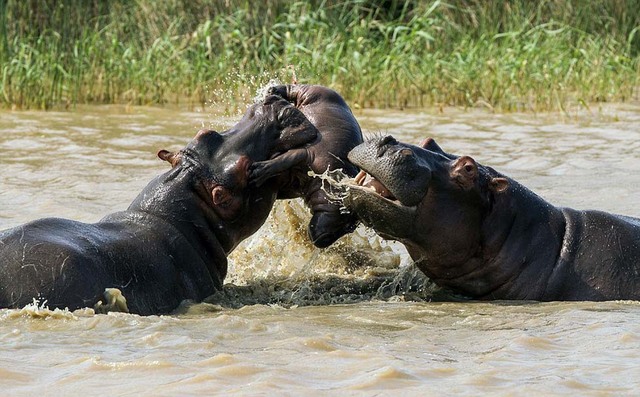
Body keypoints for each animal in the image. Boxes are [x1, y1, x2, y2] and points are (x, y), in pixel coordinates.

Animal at [248, 84, 362, 248]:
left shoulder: (297, 183)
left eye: (351, 228)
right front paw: (258, 170)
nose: (322, 242)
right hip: (310, 92)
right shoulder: (308, 154)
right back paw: (273, 91)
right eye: (346, 220)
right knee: (294, 88)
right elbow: (285, 159)